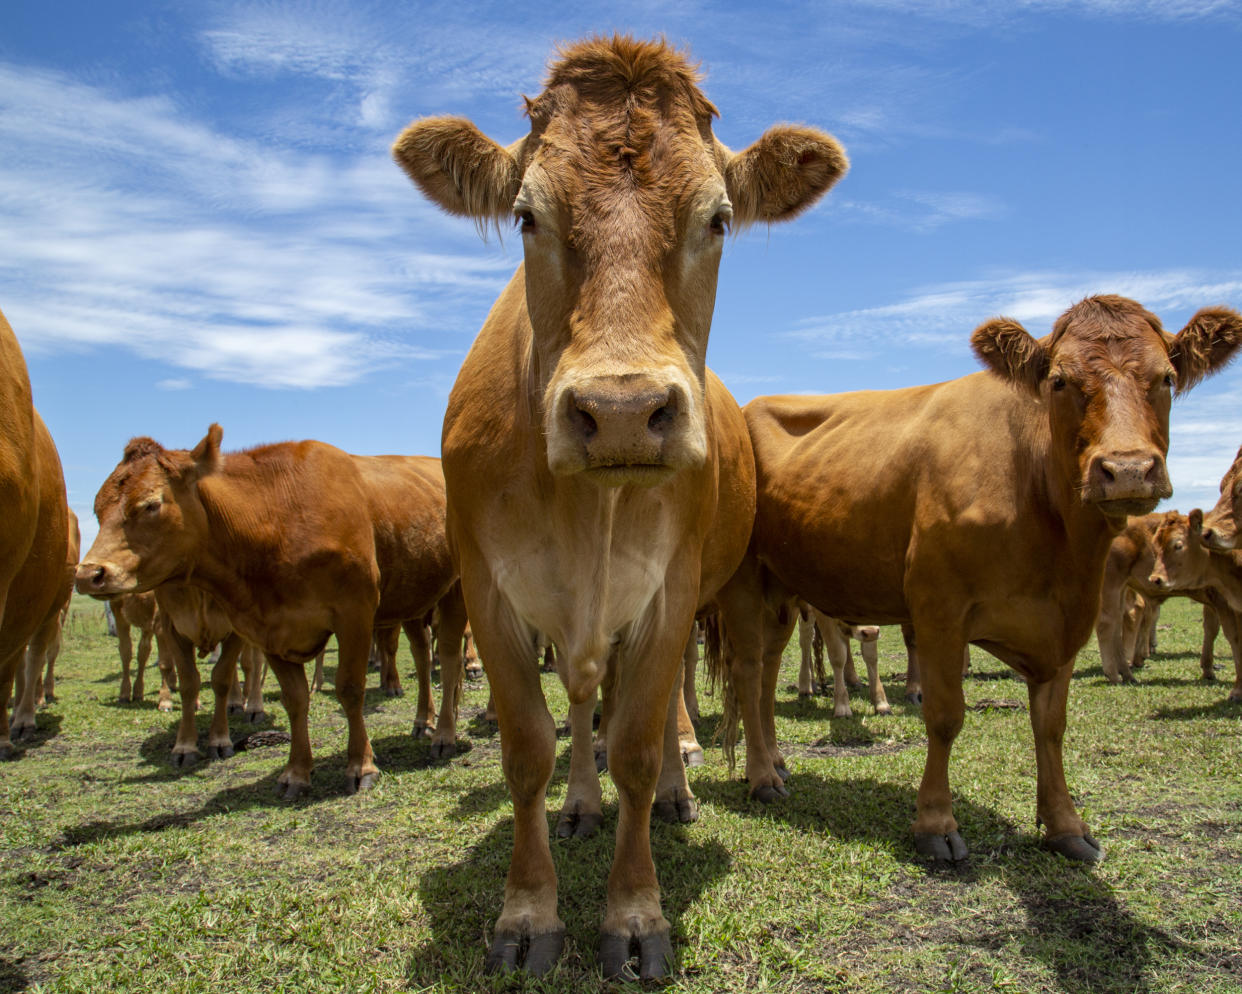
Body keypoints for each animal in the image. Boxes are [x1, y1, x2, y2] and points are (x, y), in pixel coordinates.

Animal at [76, 427, 382, 800]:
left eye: (151, 504)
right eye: (97, 509)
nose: (88, 574)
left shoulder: (349, 614)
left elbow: (229, 677)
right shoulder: (234, 625)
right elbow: (198, 683)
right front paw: (187, 746)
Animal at [392, 32, 849, 979]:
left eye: (718, 219)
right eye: (527, 216)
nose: (624, 412)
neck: (585, 514)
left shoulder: (671, 591)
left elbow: (636, 744)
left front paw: (636, 914)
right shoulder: (489, 593)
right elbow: (529, 749)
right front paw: (528, 913)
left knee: (711, 689)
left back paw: (704, 781)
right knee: (582, 704)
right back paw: (580, 803)